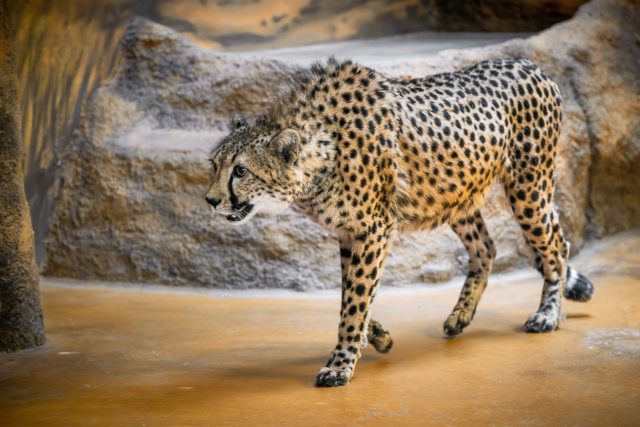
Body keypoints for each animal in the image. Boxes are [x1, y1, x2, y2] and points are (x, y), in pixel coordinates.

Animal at [204, 56, 596, 388]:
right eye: (215, 165)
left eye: (240, 171)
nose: (210, 200)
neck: (322, 150)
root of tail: (529, 64)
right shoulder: (349, 234)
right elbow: (351, 293)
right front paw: (375, 335)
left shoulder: (373, 229)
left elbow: (356, 298)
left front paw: (341, 362)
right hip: (455, 194)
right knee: (486, 247)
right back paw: (460, 315)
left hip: (529, 187)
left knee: (557, 246)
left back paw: (548, 314)